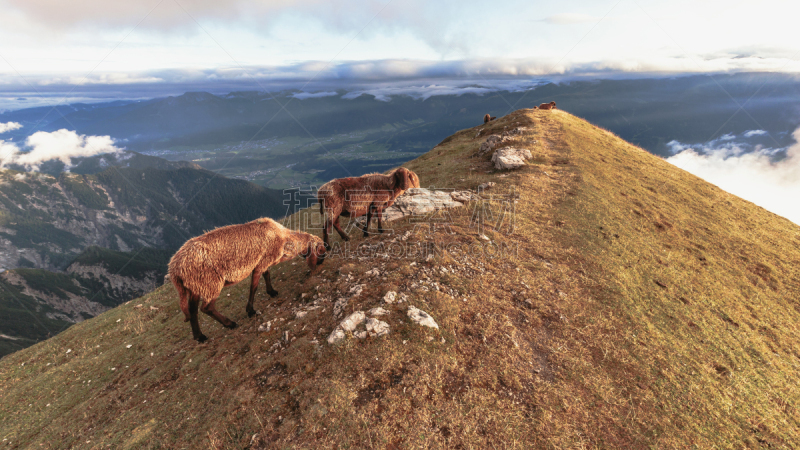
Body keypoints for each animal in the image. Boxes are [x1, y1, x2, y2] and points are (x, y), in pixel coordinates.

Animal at [169, 217, 328, 342]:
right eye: (321, 250)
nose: (321, 263)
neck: (284, 239)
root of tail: (174, 269)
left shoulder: (262, 261)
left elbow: (267, 275)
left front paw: (272, 292)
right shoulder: (261, 263)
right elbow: (254, 287)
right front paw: (250, 311)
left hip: (195, 286)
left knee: (193, 310)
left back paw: (200, 336)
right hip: (210, 282)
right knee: (206, 308)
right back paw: (229, 324)